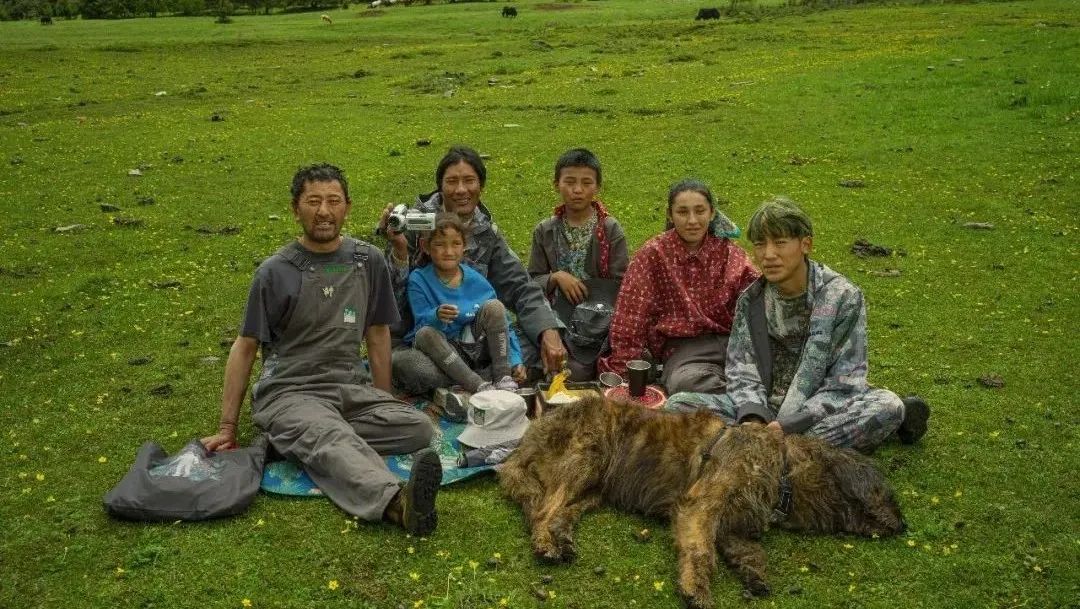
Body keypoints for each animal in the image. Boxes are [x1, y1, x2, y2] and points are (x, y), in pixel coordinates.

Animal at [501, 395, 907, 604]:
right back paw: (546, 543)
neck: (783, 471)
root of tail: (531, 432)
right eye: (886, 494)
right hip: (586, 459)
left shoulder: (734, 527)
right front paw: (696, 588)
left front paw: (755, 576)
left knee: (562, 511)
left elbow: (748, 552)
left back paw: (563, 538)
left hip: (596, 489)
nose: (905, 525)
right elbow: (701, 553)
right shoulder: (701, 507)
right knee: (544, 509)